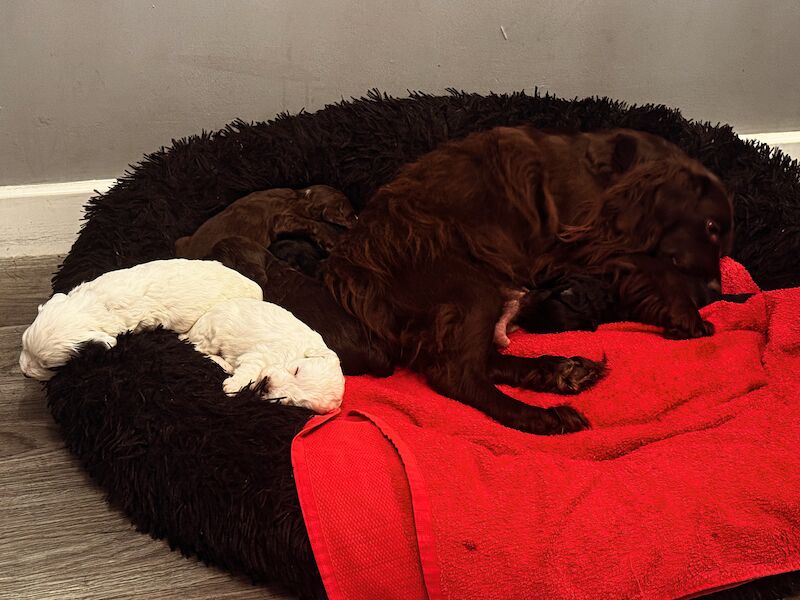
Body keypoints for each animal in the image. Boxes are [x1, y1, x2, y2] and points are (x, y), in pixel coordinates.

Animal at [175, 185, 356, 260]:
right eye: (351, 214)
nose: (357, 219)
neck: (301, 197)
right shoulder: (282, 220)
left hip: (181, 240)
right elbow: (312, 223)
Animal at [183, 298, 346, 414]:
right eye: (297, 370)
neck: (293, 355)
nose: (267, 386)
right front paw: (233, 386)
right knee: (196, 346)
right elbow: (251, 370)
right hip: (212, 333)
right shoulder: (262, 354)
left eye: (293, 402)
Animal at [324, 127, 732, 436]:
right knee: (457, 373)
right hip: (473, 287)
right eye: (711, 227)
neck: (613, 176)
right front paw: (688, 315)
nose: (715, 291)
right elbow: (655, 266)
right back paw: (544, 416)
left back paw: (561, 371)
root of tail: (352, 273)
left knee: (480, 360)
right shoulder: (575, 245)